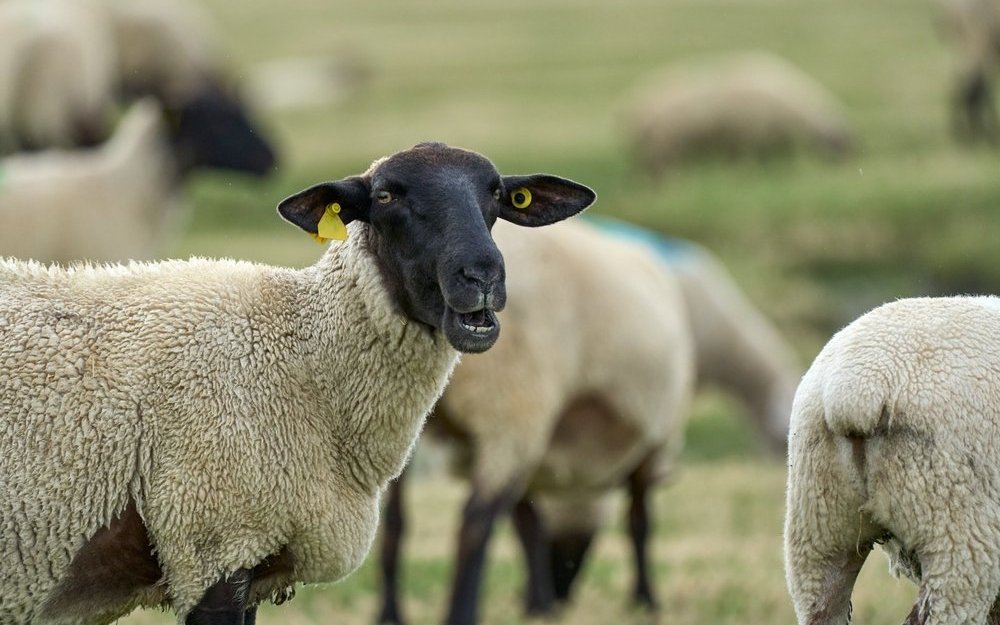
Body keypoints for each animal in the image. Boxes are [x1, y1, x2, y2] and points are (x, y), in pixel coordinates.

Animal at [0, 141, 596, 625]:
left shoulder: (253, 560)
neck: (302, 353)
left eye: (498, 196)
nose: (482, 276)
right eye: (385, 196)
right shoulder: (213, 544)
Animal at [376, 217, 695, 625]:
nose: (562, 595)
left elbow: (528, 524)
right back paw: (461, 612)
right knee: (475, 520)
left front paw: (537, 604)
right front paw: (645, 599)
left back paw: (390, 613)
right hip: (512, 399)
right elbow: (639, 522)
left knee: (394, 522)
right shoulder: (652, 446)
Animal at [623, 52, 855, 178]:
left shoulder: (765, 139)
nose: (844, 173)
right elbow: (747, 162)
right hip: (664, 146)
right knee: (662, 173)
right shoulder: (749, 137)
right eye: (837, 144)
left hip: (658, 148)